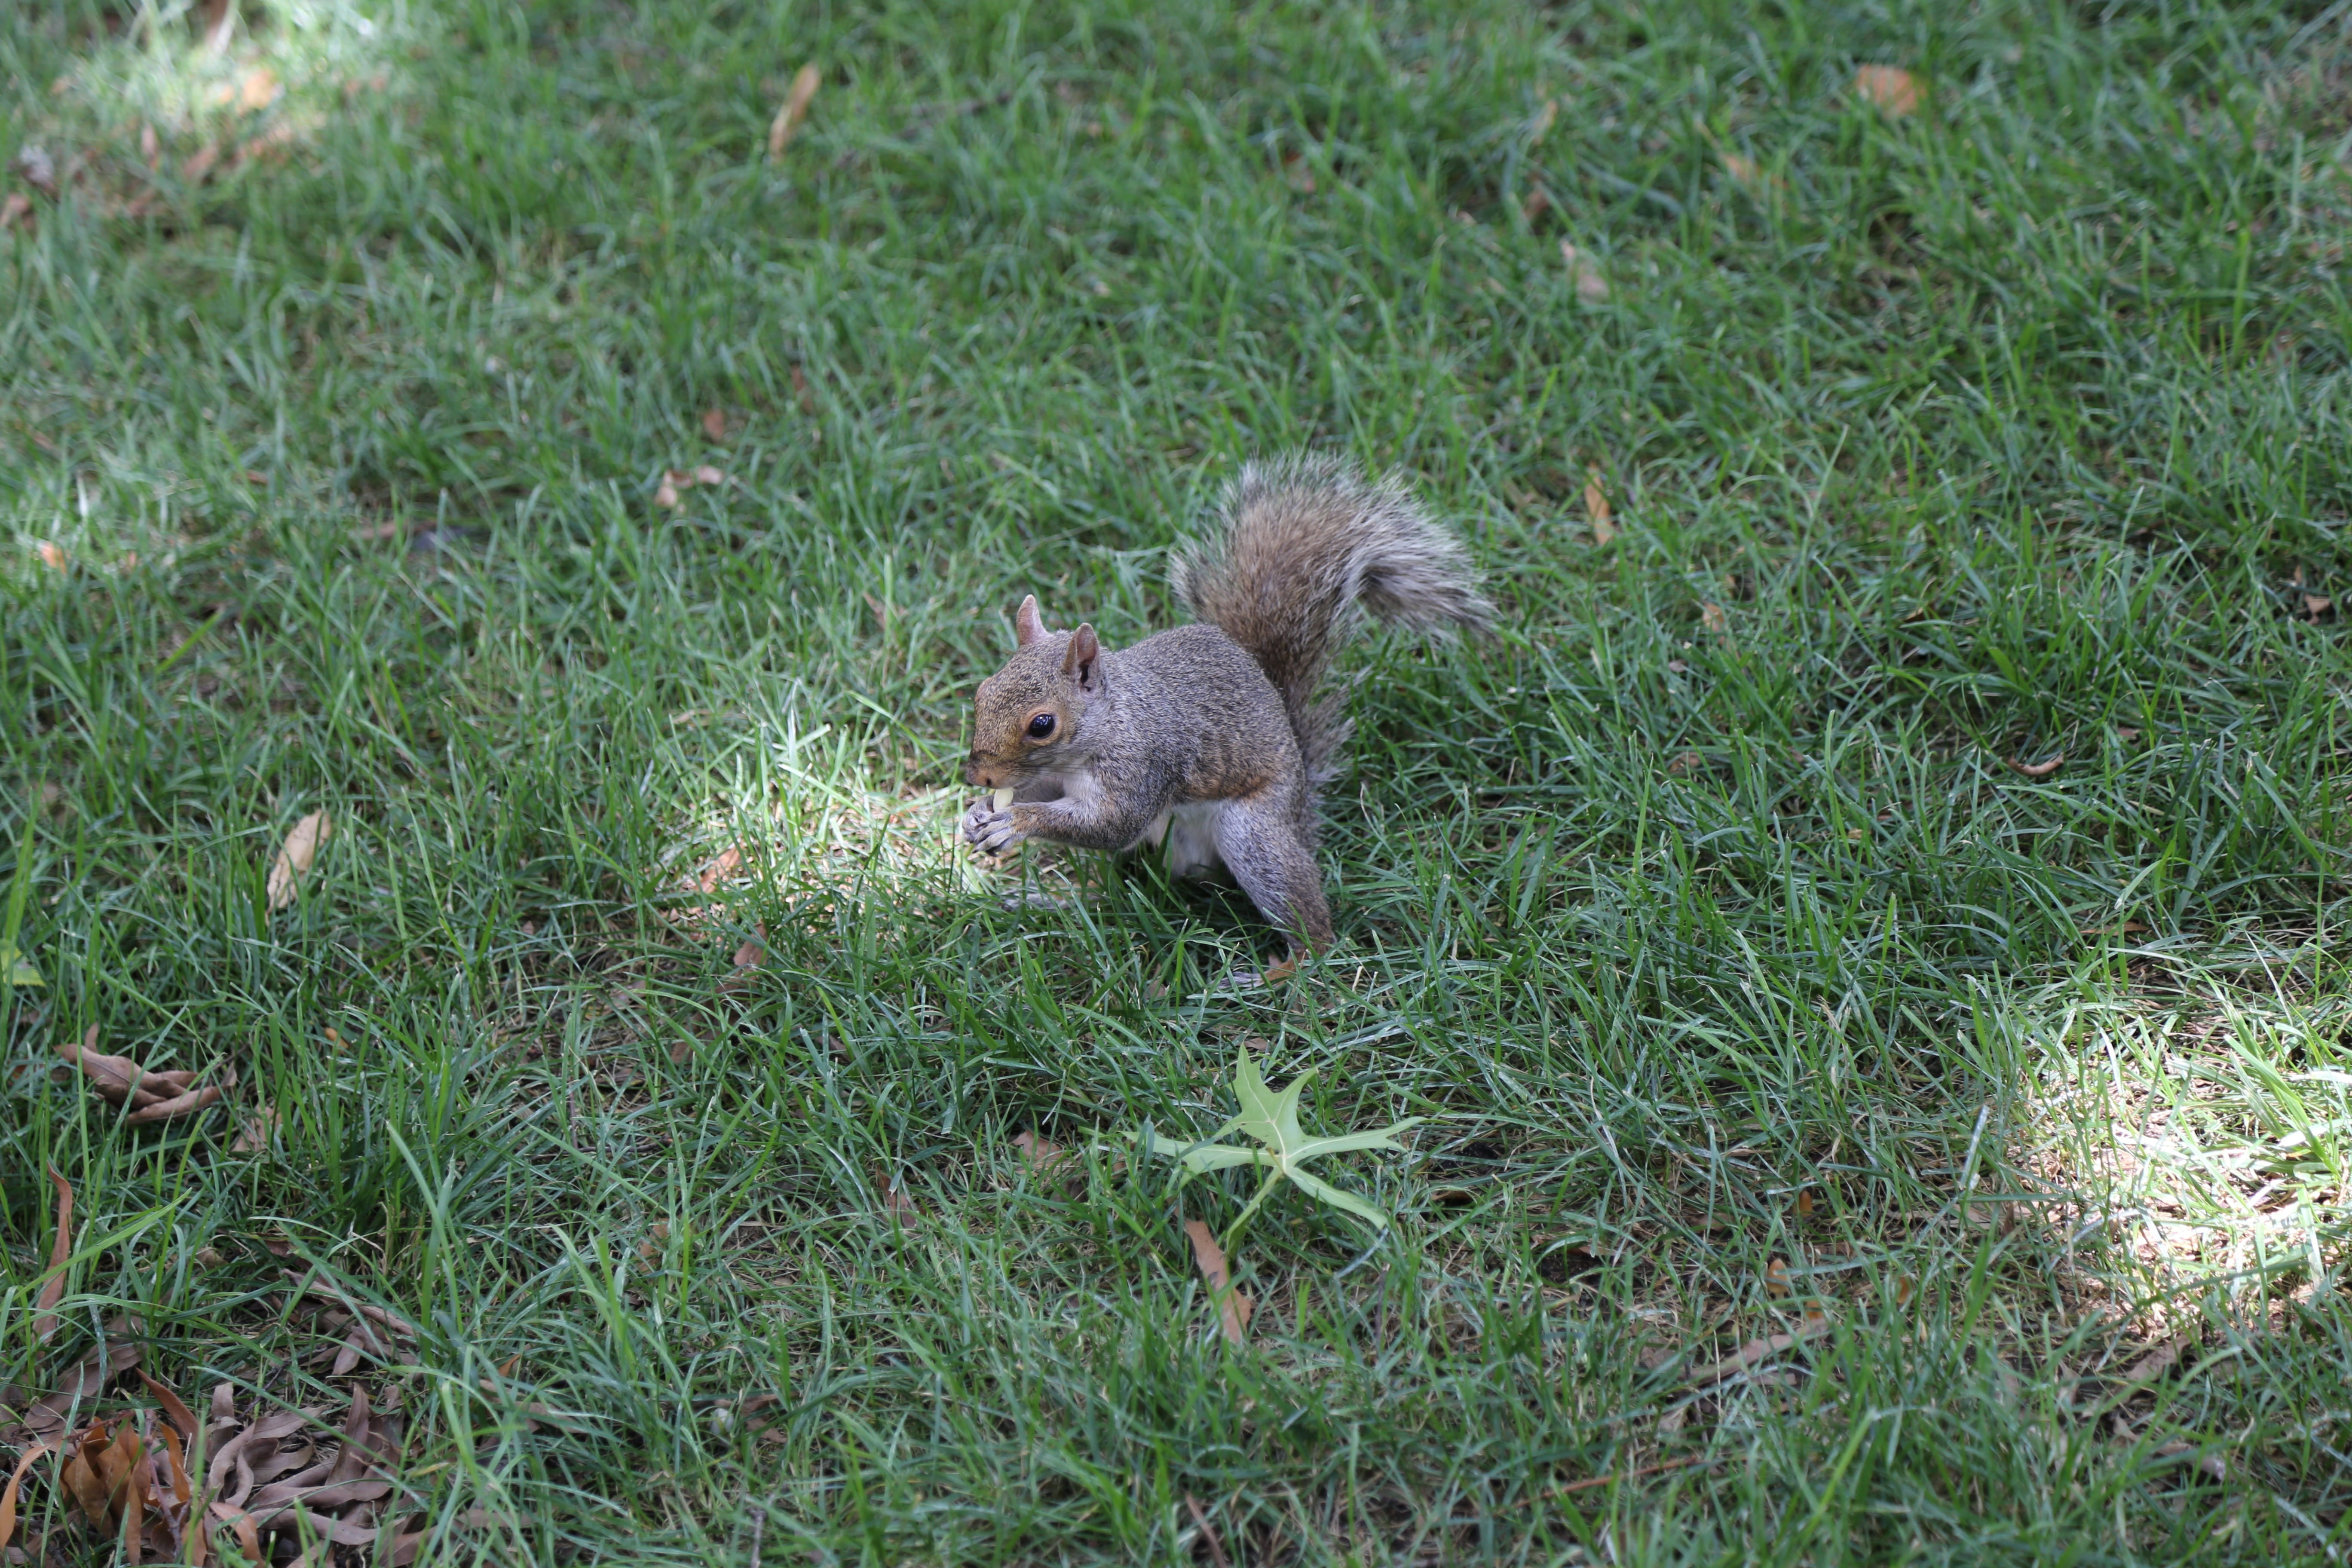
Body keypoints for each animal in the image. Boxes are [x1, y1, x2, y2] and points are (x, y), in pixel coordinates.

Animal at [959, 454, 1493, 956]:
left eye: (1042, 725)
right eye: (982, 692)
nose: (979, 777)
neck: (1110, 723)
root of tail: (1301, 807)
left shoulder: (1143, 767)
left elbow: (1112, 824)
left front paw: (1016, 821)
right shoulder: (1055, 776)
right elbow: (1045, 793)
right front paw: (977, 812)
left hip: (1252, 831)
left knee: (1314, 931)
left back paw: (1283, 970)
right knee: (1119, 885)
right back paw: (1060, 899)